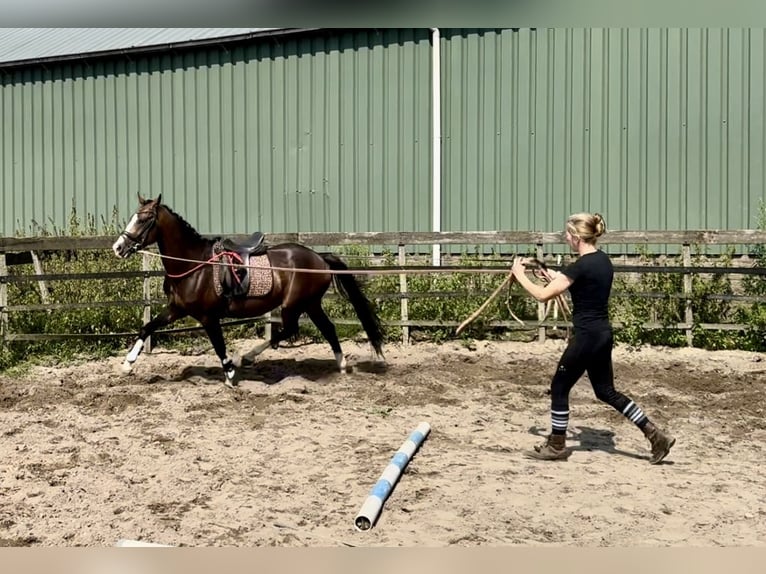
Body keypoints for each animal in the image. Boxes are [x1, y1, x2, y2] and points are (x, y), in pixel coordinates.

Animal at [111, 196, 388, 390]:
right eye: (134, 216)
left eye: (144, 219)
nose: (118, 247)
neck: (193, 264)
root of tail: (319, 258)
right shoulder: (176, 309)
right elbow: (147, 328)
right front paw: (127, 364)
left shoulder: (208, 317)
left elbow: (219, 346)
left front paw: (230, 374)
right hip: (311, 304)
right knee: (327, 329)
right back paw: (341, 365)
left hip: (294, 304)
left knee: (289, 329)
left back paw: (247, 357)